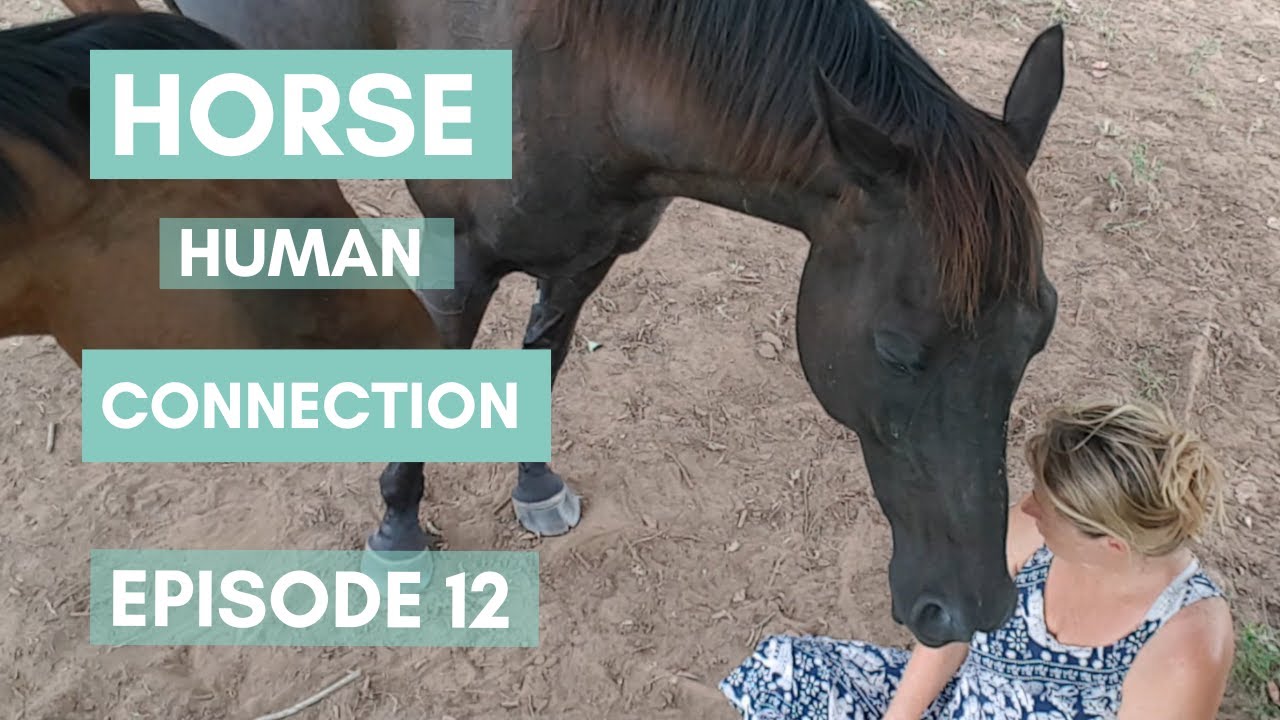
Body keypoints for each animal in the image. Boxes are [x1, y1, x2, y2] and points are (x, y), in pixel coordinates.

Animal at [112, 0, 1067, 648]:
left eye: (1041, 331)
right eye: (898, 352)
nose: (970, 608)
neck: (590, 64)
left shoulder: (592, 250)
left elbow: (546, 358)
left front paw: (534, 488)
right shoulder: (459, 252)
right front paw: (397, 526)